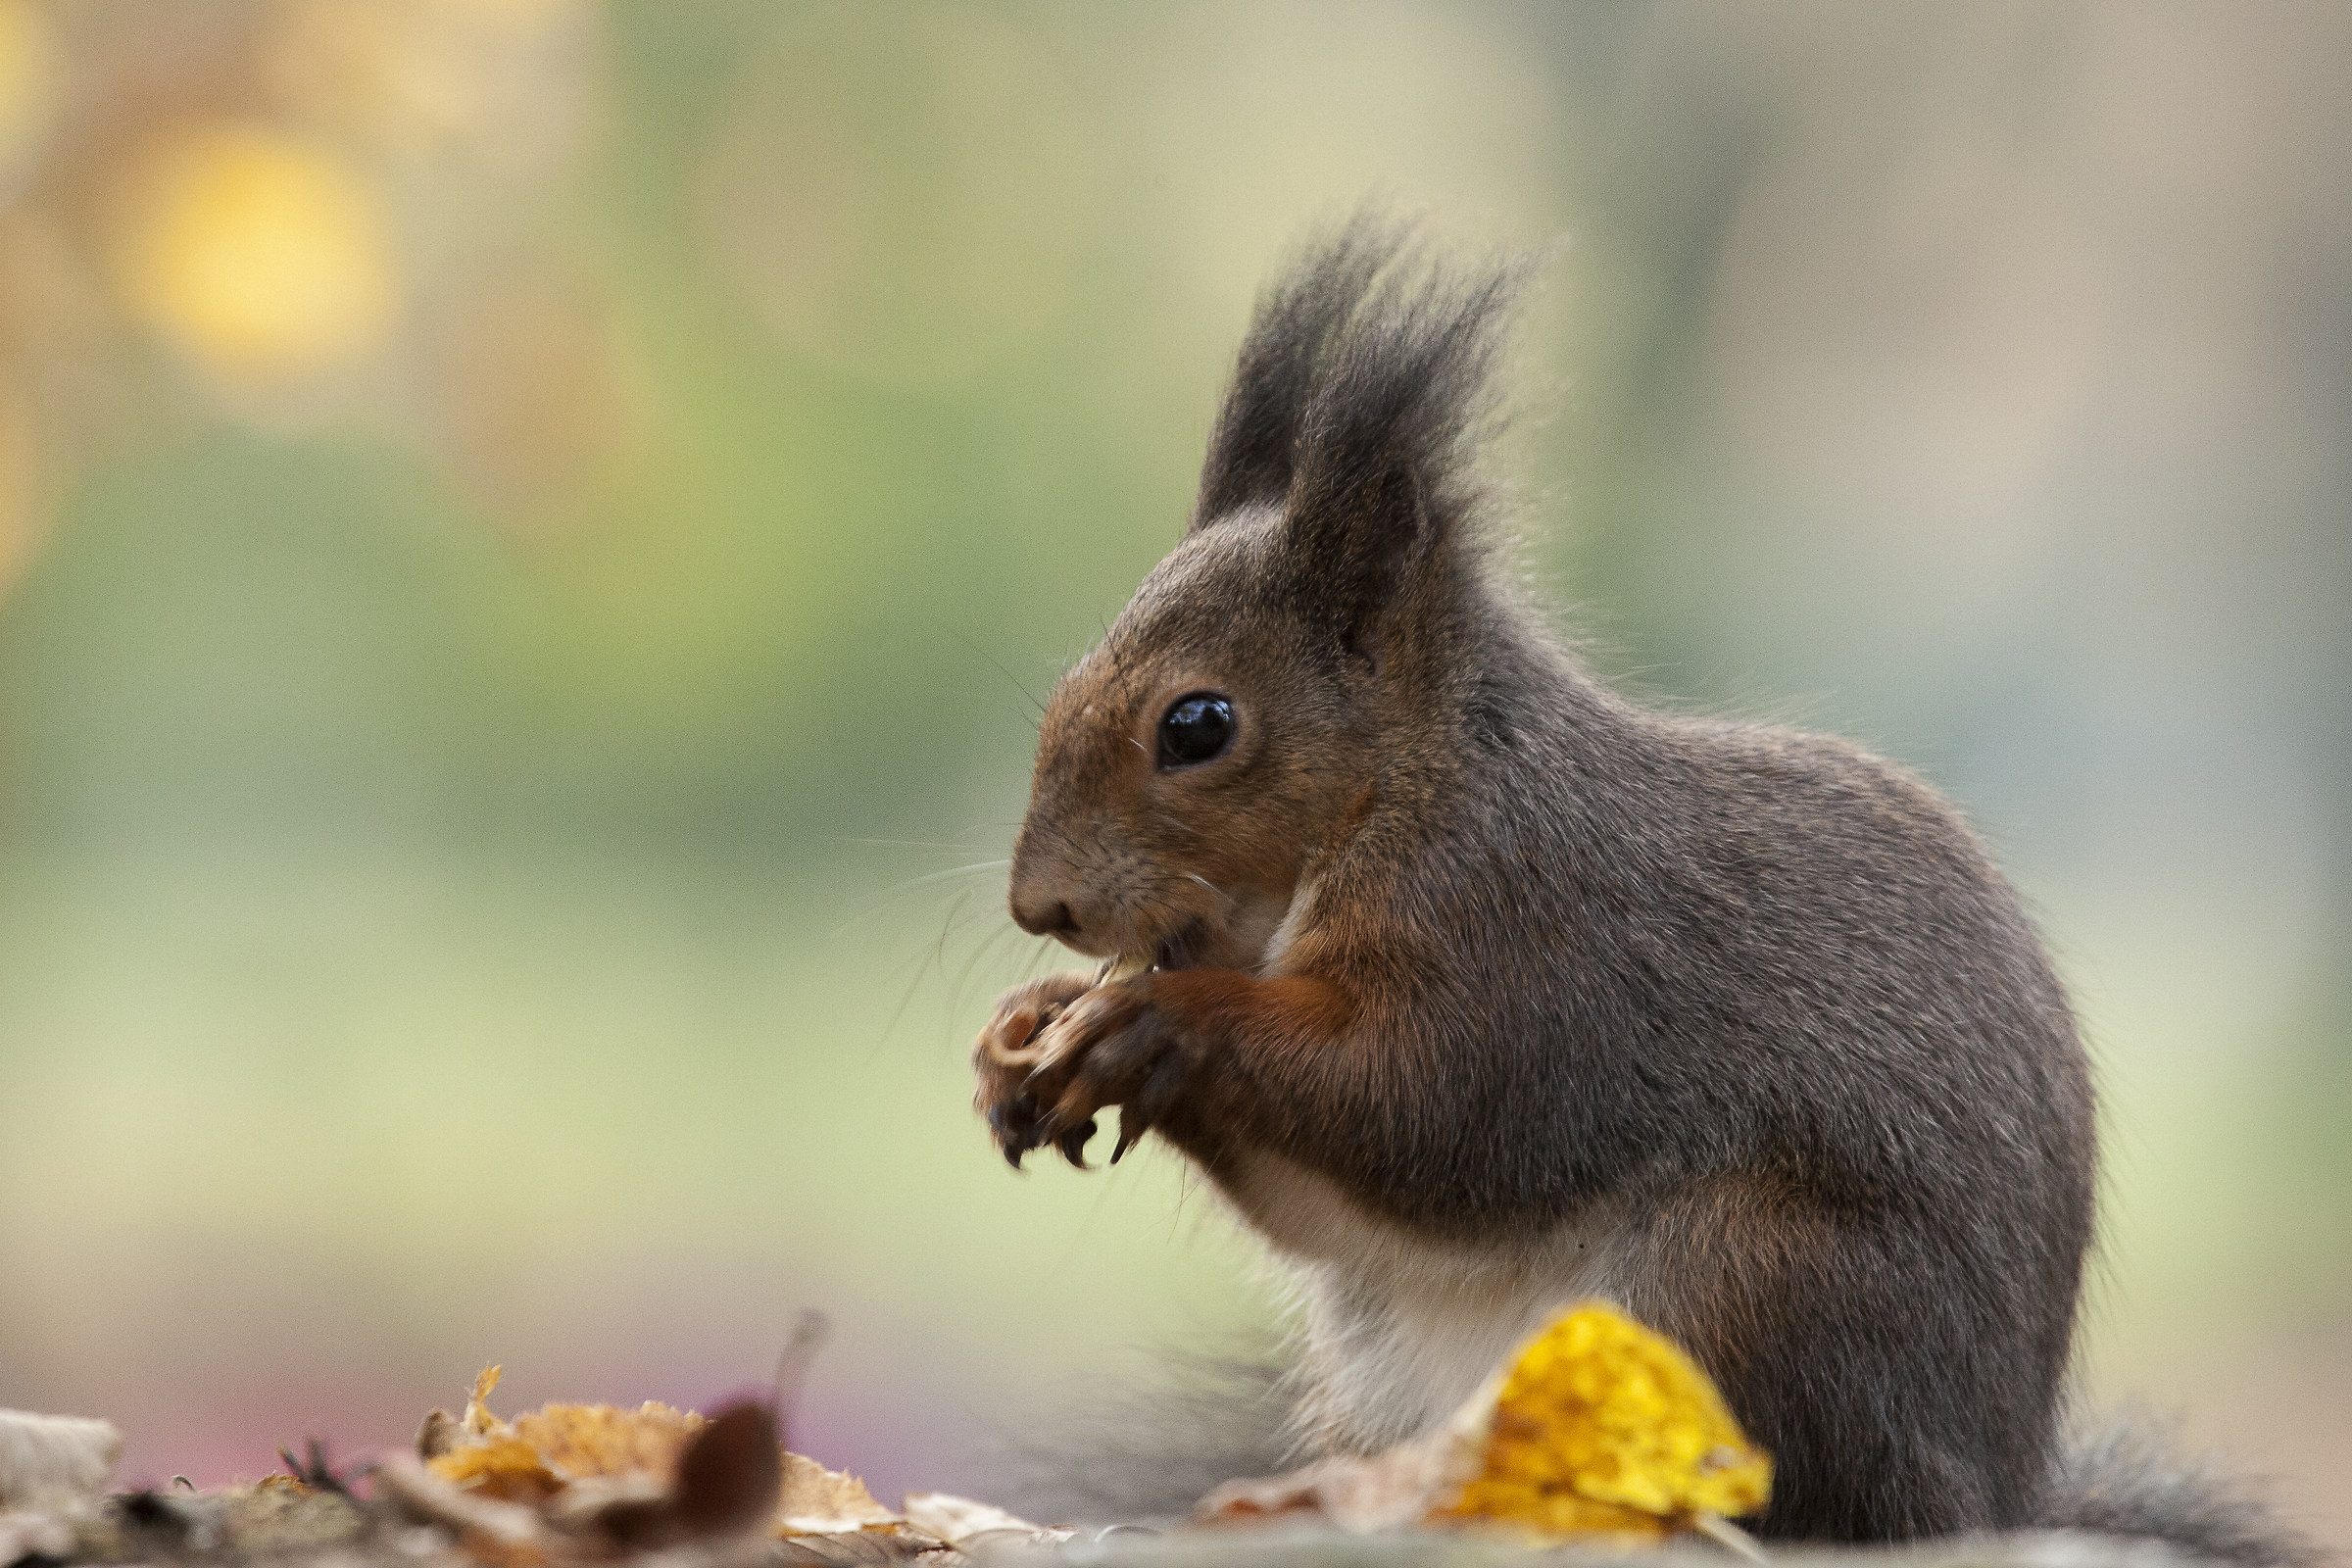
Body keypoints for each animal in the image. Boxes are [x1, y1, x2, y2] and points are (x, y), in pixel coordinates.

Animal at [969, 214, 2317, 1562]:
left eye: (1198, 724)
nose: (1040, 906)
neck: (1402, 790)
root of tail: (1984, 1496)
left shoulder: (1531, 934)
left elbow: (1428, 1106)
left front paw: (1148, 1023)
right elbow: (1329, 1200)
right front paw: (1025, 1032)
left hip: (1751, 1279)